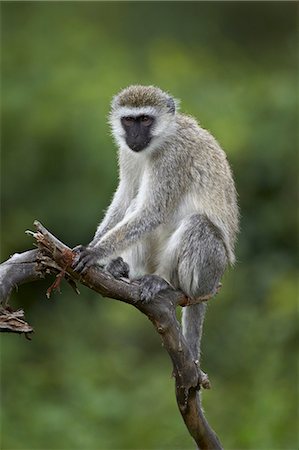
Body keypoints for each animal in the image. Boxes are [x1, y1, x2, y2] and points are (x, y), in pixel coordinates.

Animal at [74, 86, 240, 368]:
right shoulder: (127, 153)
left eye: (145, 120)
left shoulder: (173, 157)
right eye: (129, 120)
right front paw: (96, 250)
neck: (160, 140)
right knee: (134, 206)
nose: (135, 136)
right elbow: (126, 197)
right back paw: (122, 269)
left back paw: (165, 283)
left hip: (209, 270)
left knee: (197, 225)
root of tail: (211, 286)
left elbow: (153, 211)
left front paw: (95, 253)